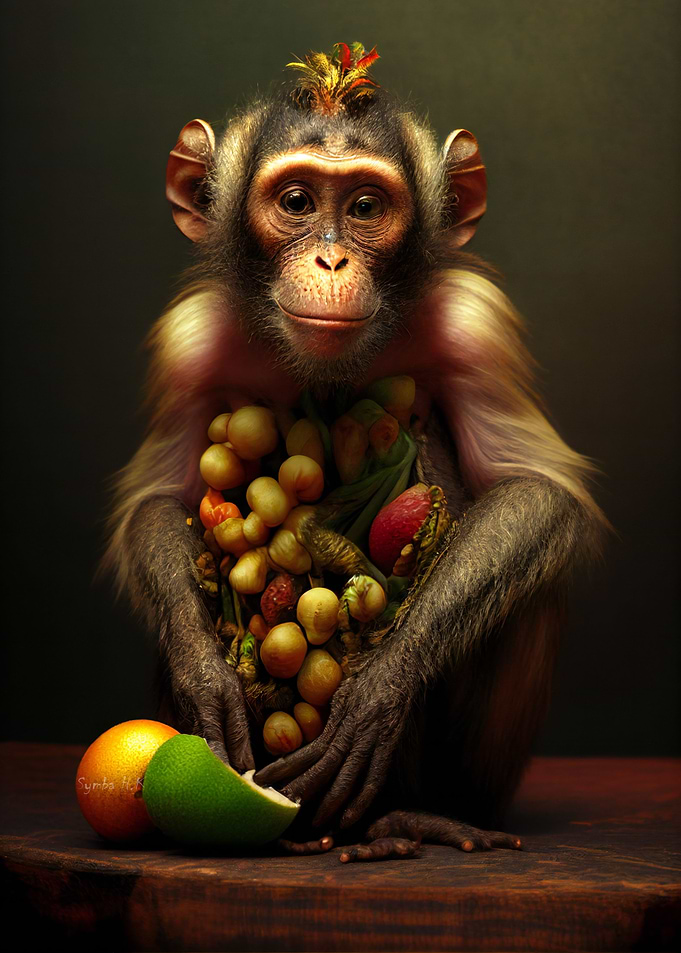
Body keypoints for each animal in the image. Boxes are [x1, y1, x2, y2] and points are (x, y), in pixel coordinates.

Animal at [100, 43, 606, 862]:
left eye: (366, 209)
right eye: (297, 202)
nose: (333, 261)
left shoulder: (478, 325)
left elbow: (534, 487)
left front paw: (382, 687)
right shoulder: (186, 340)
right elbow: (156, 498)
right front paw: (204, 674)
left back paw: (414, 817)